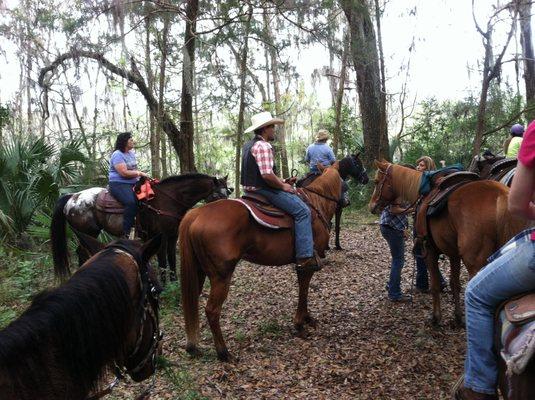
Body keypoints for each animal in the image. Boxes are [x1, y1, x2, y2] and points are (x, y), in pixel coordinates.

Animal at [50, 173, 232, 282]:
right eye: (217, 195)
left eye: (227, 193)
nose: (225, 216)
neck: (168, 200)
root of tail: (72, 197)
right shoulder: (160, 236)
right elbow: (163, 260)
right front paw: (165, 284)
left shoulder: (173, 236)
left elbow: (172, 258)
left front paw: (174, 282)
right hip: (88, 232)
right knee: (82, 251)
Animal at [180, 157, 368, 362]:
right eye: (345, 181)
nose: (346, 201)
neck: (316, 202)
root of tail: (196, 214)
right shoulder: (308, 262)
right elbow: (304, 289)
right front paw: (300, 323)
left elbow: (303, 289)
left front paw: (306, 318)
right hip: (221, 276)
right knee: (212, 310)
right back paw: (223, 352)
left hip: (199, 272)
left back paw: (193, 346)